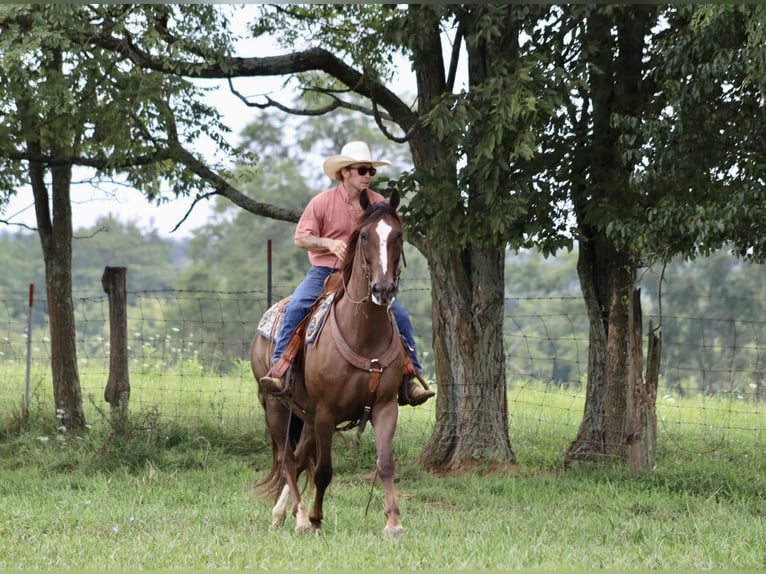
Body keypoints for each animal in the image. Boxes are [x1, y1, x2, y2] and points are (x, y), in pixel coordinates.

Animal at [250, 191, 408, 536]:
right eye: (364, 236)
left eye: (398, 235)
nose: (383, 289)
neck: (363, 331)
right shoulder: (326, 412)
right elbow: (323, 470)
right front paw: (315, 519)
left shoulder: (385, 406)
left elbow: (385, 463)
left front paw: (393, 522)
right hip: (276, 406)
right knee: (288, 459)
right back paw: (296, 516)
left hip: (306, 416)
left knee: (297, 458)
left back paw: (284, 514)